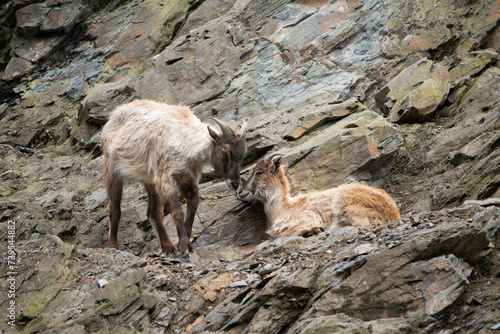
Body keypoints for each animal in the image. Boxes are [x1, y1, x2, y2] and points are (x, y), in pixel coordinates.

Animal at [100, 99, 247, 253]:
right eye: (225, 152)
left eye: (243, 154)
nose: (235, 183)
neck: (184, 140)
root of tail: (114, 114)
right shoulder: (167, 178)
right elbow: (178, 211)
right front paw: (184, 245)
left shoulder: (188, 178)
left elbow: (192, 206)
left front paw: (185, 241)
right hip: (112, 169)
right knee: (114, 209)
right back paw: (112, 245)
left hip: (151, 180)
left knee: (153, 212)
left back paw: (167, 246)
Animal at [236, 153, 400, 237]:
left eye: (259, 172)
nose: (240, 191)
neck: (284, 208)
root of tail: (392, 212)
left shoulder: (309, 218)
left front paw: (314, 230)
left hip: (346, 205)